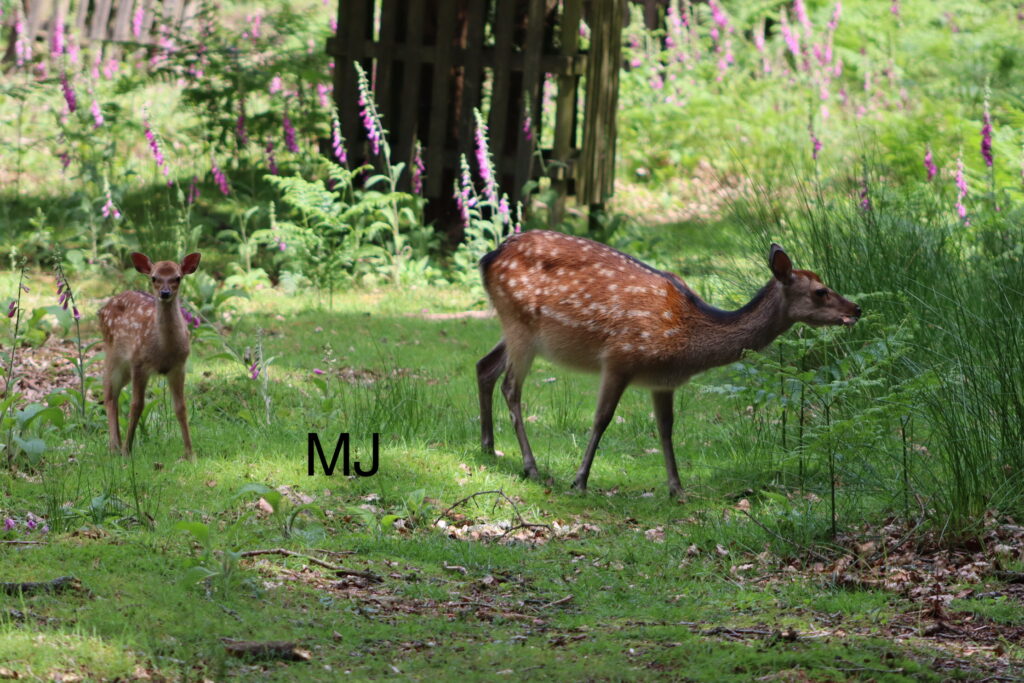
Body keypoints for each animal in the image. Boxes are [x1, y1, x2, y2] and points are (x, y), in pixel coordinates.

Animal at [98, 252, 202, 459]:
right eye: (154, 277)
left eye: (177, 277)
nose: (165, 293)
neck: (164, 350)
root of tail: (103, 308)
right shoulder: (139, 364)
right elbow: (136, 406)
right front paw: (127, 451)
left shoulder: (179, 366)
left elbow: (181, 407)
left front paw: (189, 453)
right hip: (113, 354)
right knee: (109, 395)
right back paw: (115, 446)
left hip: (125, 368)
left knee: (113, 395)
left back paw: (117, 444)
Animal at [476, 231, 860, 497]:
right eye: (820, 291)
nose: (856, 308)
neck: (687, 339)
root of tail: (489, 258)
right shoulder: (619, 357)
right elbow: (601, 419)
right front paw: (580, 480)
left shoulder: (663, 380)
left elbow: (666, 428)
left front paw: (677, 488)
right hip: (521, 325)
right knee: (511, 386)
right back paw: (531, 467)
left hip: (515, 328)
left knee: (484, 366)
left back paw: (488, 447)